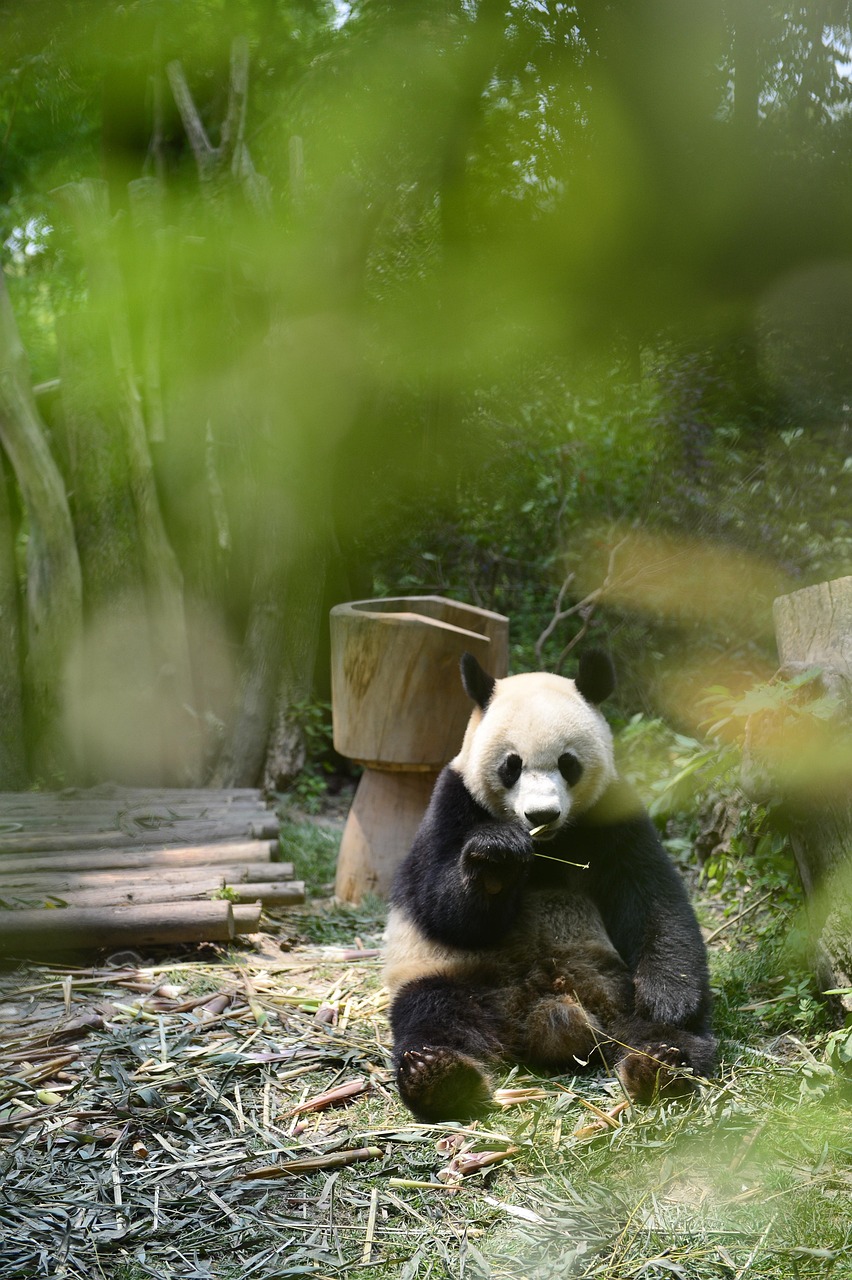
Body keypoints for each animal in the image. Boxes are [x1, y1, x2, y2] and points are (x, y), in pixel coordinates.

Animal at [384, 650, 715, 1123]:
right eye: (512, 765)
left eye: (567, 763)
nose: (541, 815)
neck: (548, 846)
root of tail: (544, 1017)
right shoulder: (452, 803)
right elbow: (441, 908)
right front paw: (497, 859)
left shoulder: (613, 812)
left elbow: (652, 896)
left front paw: (669, 997)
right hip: (455, 977)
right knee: (433, 1014)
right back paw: (438, 1076)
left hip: (613, 984)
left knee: (664, 1031)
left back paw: (660, 1066)